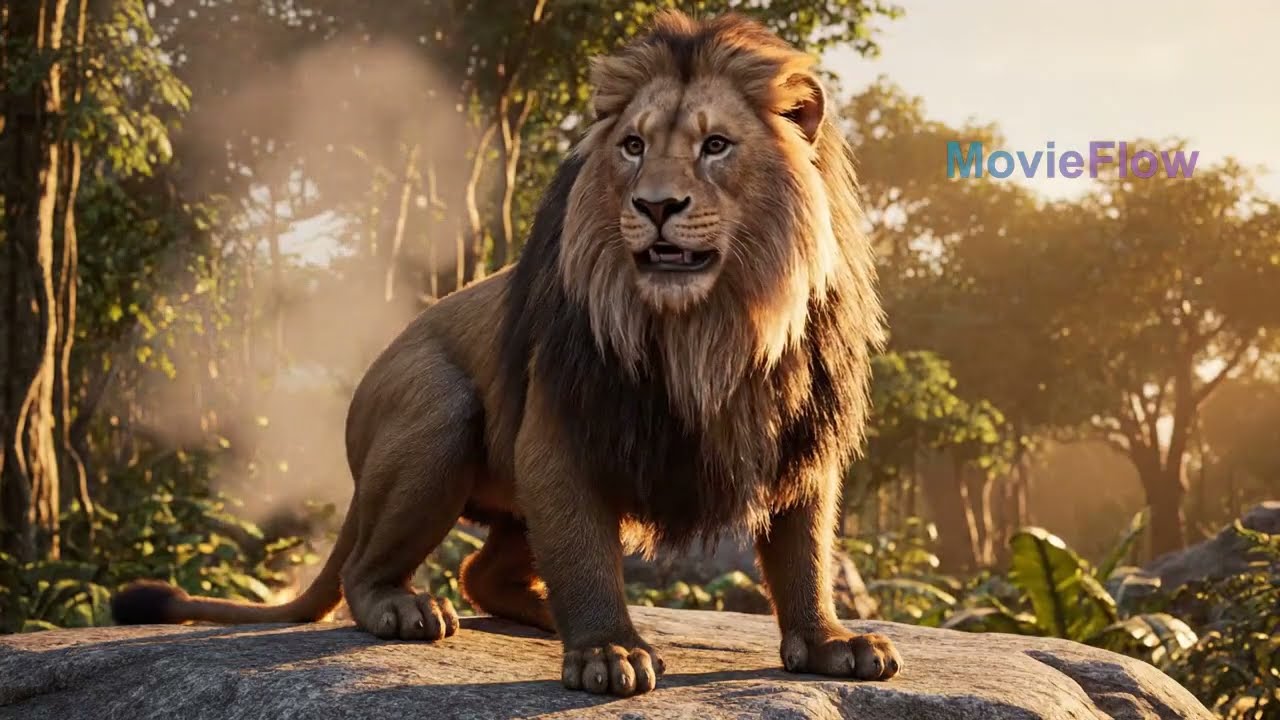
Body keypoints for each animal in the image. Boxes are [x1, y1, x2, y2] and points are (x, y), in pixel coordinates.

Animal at [111, 11, 900, 696]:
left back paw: (550, 614)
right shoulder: (563, 428)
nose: (654, 206)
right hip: (439, 413)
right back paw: (410, 608)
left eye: (716, 145)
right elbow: (583, 551)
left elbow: (805, 551)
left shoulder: (800, 436)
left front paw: (831, 642)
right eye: (633, 146)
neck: (712, 330)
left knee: (481, 573)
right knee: (370, 565)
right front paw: (608, 651)